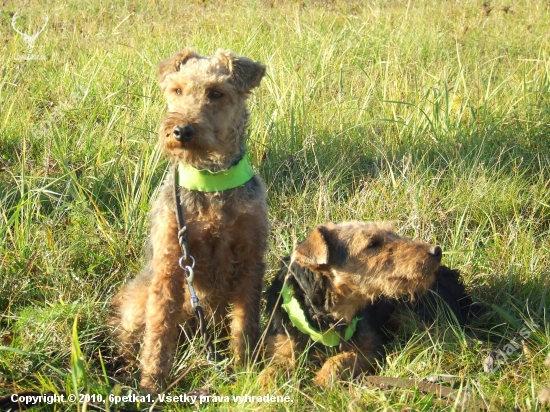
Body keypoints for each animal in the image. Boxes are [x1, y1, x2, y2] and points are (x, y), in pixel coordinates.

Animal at [262, 222, 474, 386]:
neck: (324, 317)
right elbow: (269, 374)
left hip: (413, 315)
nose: (436, 251)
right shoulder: (280, 351)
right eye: (372, 243)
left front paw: (320, 384)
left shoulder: (370, 348)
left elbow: (336, 361)